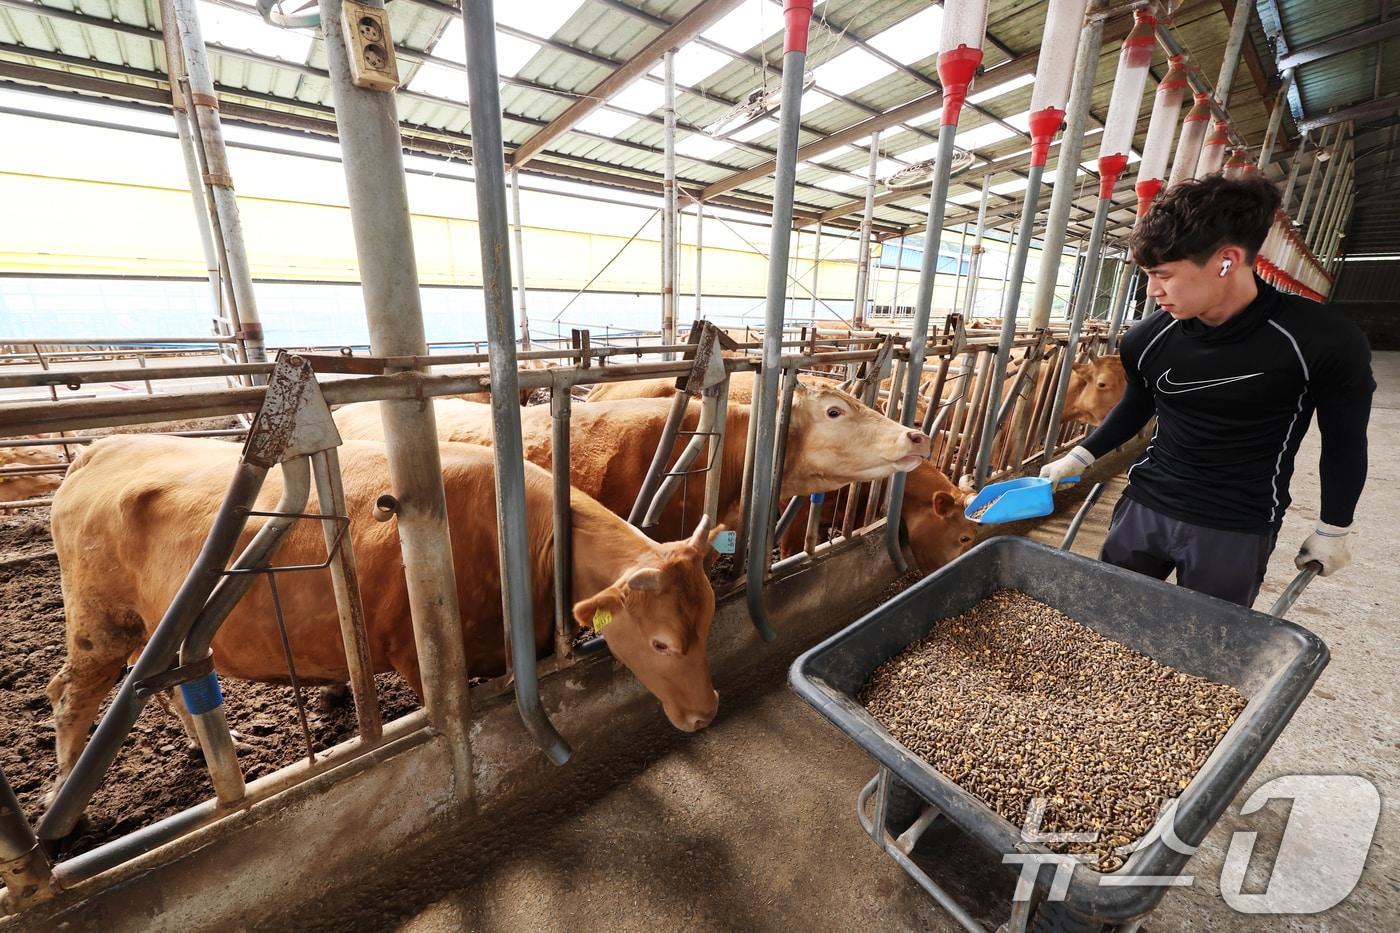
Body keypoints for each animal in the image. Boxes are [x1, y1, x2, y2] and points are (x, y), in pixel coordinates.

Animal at [46, 437, 722, 784]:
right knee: (69, 694)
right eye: (661, 642)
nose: (707, 712)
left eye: (710, 621)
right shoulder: (418, 656)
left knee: (162, 686)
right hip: (98, 625)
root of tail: (99, 449)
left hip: (152, 629)